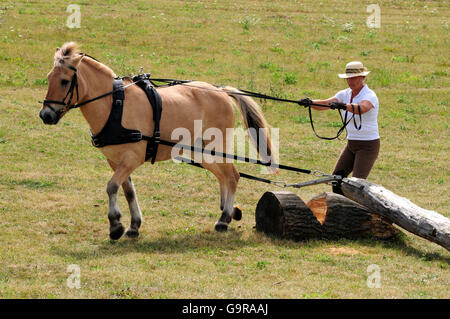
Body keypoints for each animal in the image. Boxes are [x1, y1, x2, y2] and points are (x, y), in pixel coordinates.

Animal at [39, 42, 278, 241]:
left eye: (64, 81)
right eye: (49, 77)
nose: (45, 115)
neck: (115, 106)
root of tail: (220, 91)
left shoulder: (132, 158)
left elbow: (112, 186)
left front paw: (115, 225)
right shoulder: (115, 161)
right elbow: (128, 191)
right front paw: (133, 226)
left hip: (214, 148)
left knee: (232, 176)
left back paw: (224, 218)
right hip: (202, 153)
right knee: (223, 176)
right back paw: (230, 211)